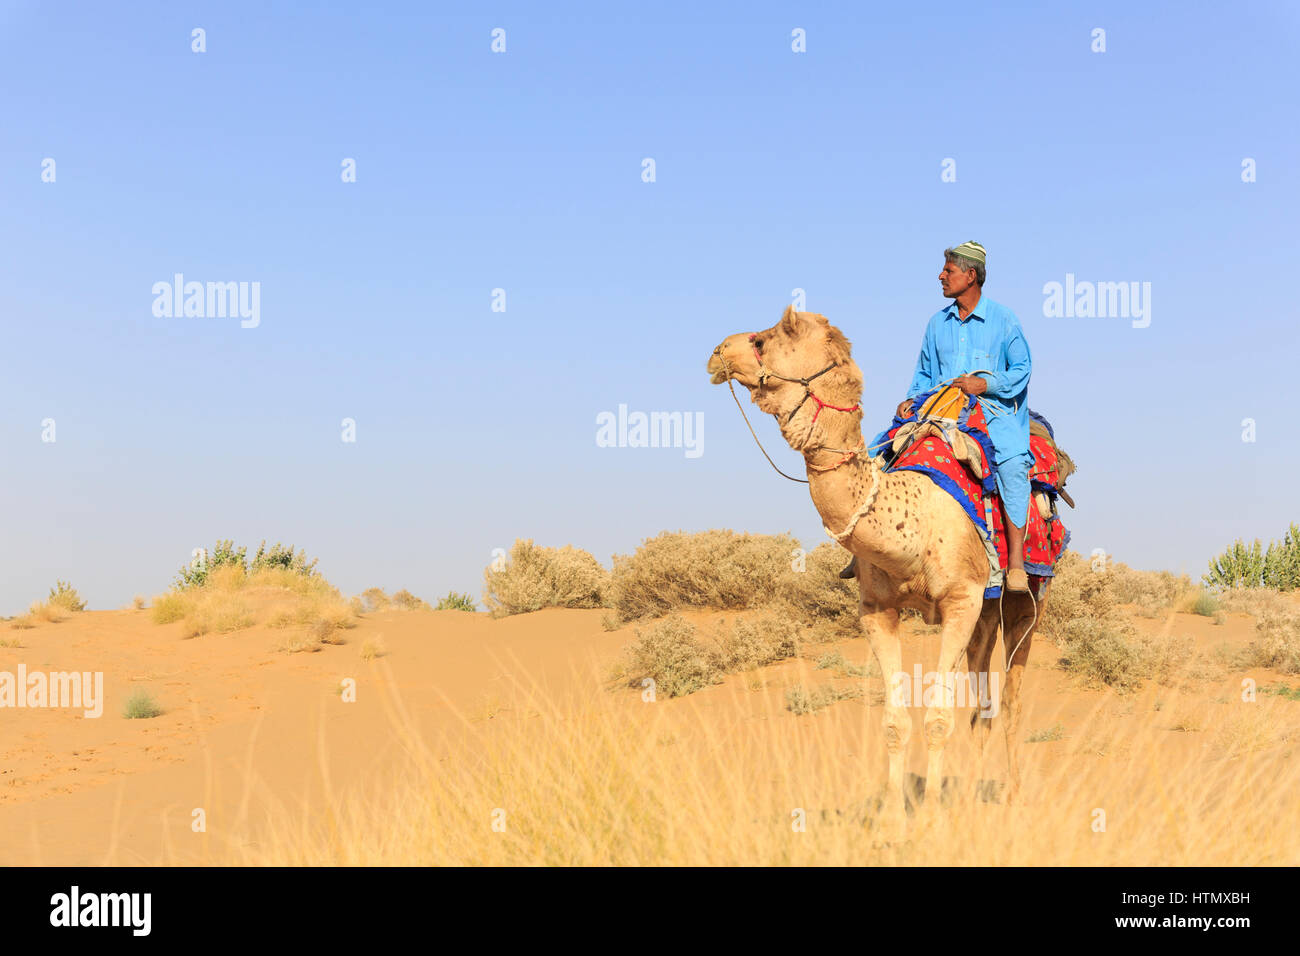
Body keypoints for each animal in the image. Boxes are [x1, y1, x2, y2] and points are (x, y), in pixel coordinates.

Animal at [707, 308, 1040, 837]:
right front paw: (892, 820)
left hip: (1025, 598)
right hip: (986, 615)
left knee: (1009, 700)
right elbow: (895, 722)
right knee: (982, 700)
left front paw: (932, 821)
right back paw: (971, 795)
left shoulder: (961, 601)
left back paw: (1011, 796)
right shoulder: (878, 609)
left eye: (768, 337)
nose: (719, 351)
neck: (914, 520)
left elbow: (938, 719)